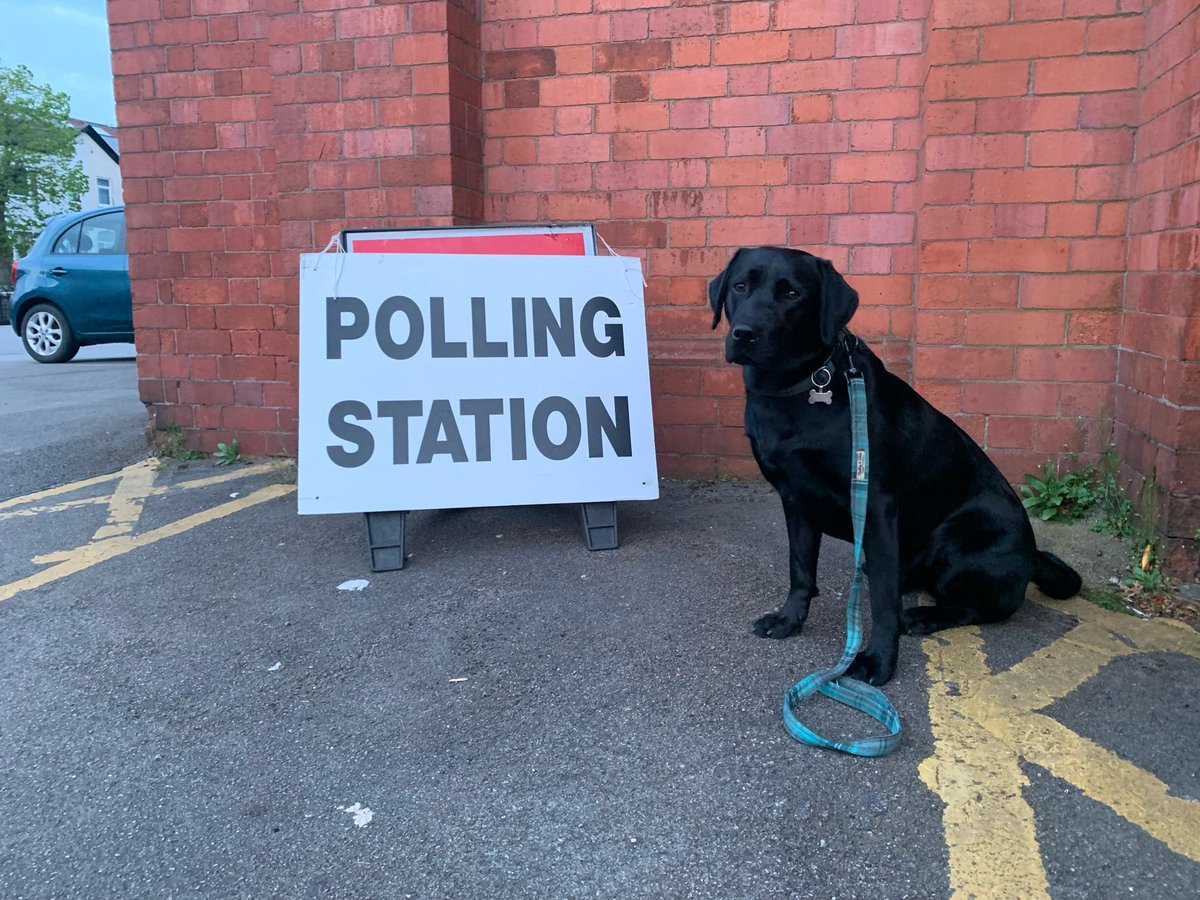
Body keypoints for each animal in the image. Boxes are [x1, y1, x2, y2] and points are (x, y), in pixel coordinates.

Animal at [705, 244, 1084, 681]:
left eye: (792, 294)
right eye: (740, 286)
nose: (745, 333)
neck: (794, 391)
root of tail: (1034, 555)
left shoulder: (875, 505)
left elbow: (883, 601)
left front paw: (878, 659)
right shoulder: (794, 498)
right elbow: (800, 568)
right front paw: (788, 620)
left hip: (955, 541)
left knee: (974, 608)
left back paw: (922, 616)